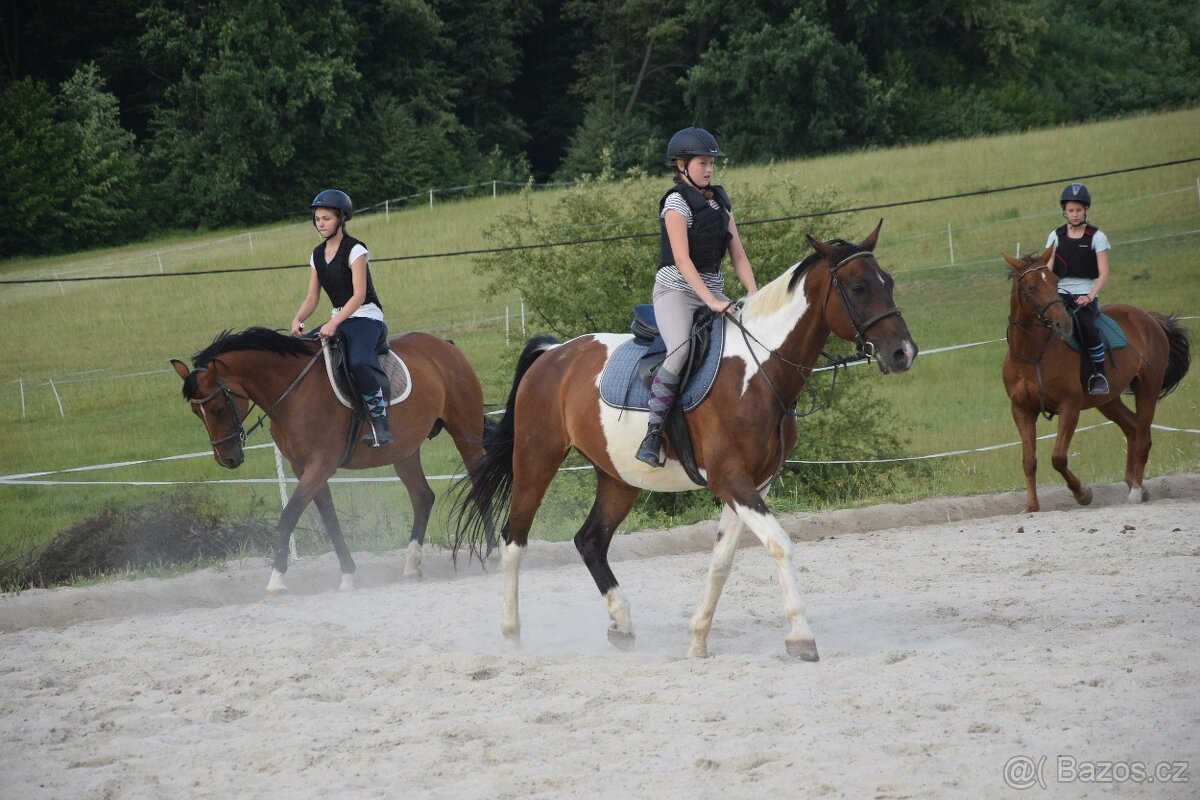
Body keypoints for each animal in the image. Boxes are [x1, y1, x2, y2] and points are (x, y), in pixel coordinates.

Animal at [169, 326, 492, 594]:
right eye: (197, 413)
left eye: (219, 408)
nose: (227, 459)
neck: (293, 391)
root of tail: (445, 346)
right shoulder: (304, 468)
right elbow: (330, 521)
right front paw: (348, 576)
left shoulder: (320, 464)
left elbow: (288, 516)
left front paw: (276, 581)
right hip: (405, 450)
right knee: (422, 496)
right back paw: (411, 566)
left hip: (464, 432)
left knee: (479, 484)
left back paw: (489, 553)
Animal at [458, 221, 916, 662]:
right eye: (858, 287)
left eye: (889, 282)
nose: (904, 353)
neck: (759, 370)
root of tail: (554, 353)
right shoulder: (730, 479)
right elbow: (779, 543)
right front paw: (801, 637)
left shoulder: (755, 482)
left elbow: (722, 560)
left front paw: (697, 641)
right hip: (537, 459)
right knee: (514, 540)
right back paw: (512, 637)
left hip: (618, 476)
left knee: (590, 541)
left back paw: (622, 625)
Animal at [998, 248, 1185, 513]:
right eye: (1031, 287)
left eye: (1055, 282)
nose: (1063, 324)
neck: (1032, 355)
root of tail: (1148, 317)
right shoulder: (1022, 410)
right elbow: (1028, 460)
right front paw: (1032, 506)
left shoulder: (1070, 406)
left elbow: (1058, 457)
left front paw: (1082, 493)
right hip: (1108, 400)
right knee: (1133, 428)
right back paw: (1132, 483)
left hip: (1147, 388)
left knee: (1142, 437)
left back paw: (1136, 492)